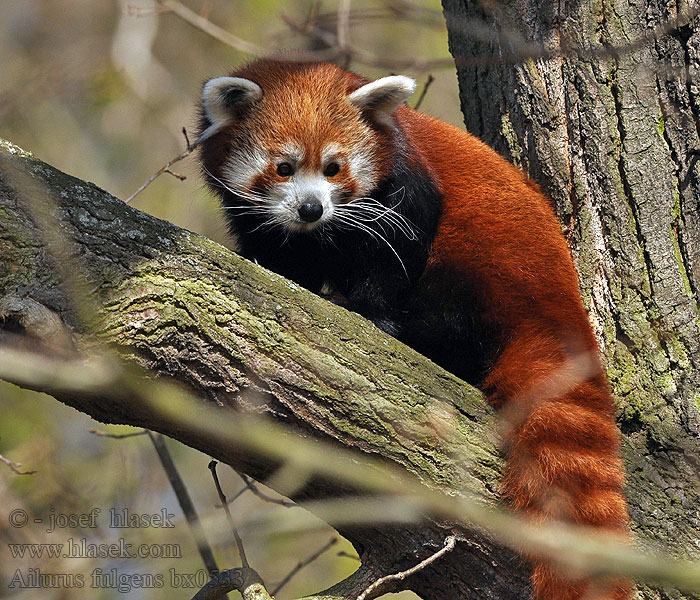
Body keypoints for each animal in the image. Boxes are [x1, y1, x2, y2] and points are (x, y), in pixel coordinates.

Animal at [196, 59, 628, 600]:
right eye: (284, 168)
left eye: (333, 168)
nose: (312, 208)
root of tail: (558, 300)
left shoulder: (406, 185)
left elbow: (397, 246)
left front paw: (370, 310)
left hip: (486, 258)